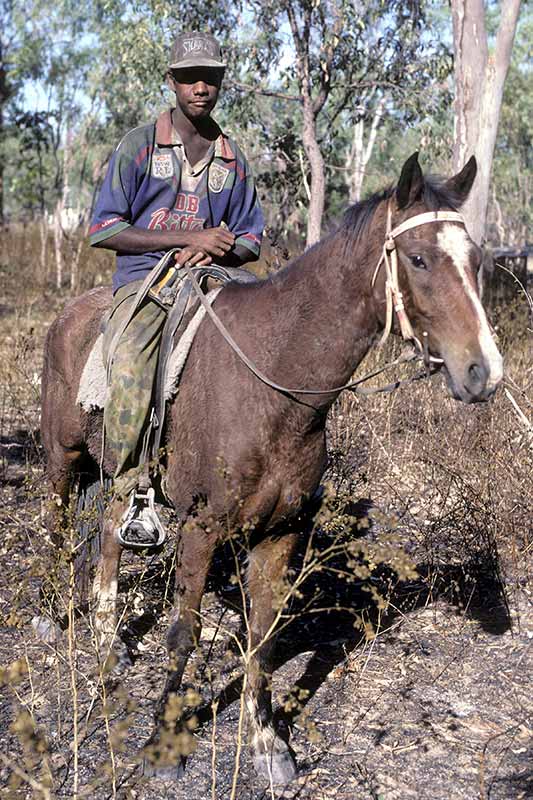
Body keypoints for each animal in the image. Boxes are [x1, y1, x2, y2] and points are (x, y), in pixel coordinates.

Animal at [39, 153, 500, 784]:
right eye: (419, 259)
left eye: (477, 261)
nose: (484, 371)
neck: (276, 383)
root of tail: (69, 312)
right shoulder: (201, 528)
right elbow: (183, 634)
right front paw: (163, 743)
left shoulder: (281, 534)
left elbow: (261, 637)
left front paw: (266, 743)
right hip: (62, 460)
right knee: (59, 526)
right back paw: (50, 618)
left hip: (119, 475)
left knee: (109, 536)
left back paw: (111, 643)